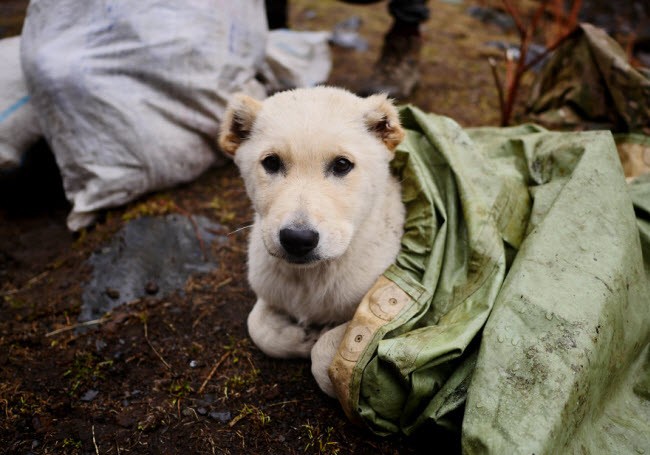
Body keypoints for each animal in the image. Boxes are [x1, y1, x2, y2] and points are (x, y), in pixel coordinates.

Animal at [220, 87, 402, 398]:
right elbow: (256, 325)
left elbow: (328, 353)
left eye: (342, 164)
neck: (310, 278)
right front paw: (299, 337)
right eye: (271, 162)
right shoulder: (269, 287)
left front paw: (319, 339)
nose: (297, 239)